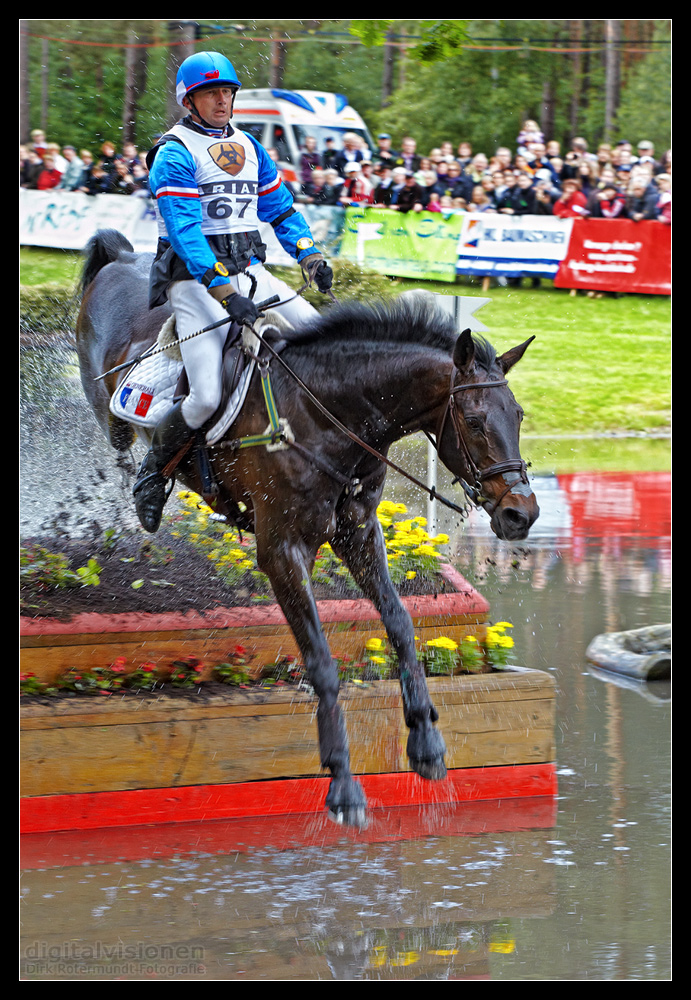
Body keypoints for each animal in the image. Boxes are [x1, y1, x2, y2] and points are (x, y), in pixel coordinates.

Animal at [77, 230, 540, 824]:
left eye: (519, 416)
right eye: (477, 421)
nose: (521, 514)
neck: (327, 412)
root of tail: (120, 258)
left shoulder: (357, 535)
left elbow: (401, 624)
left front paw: (427, 744)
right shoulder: (281, 550)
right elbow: (320, 660)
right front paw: (342, 783)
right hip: (111, 415)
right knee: (125, 456)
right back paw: (140, 507)